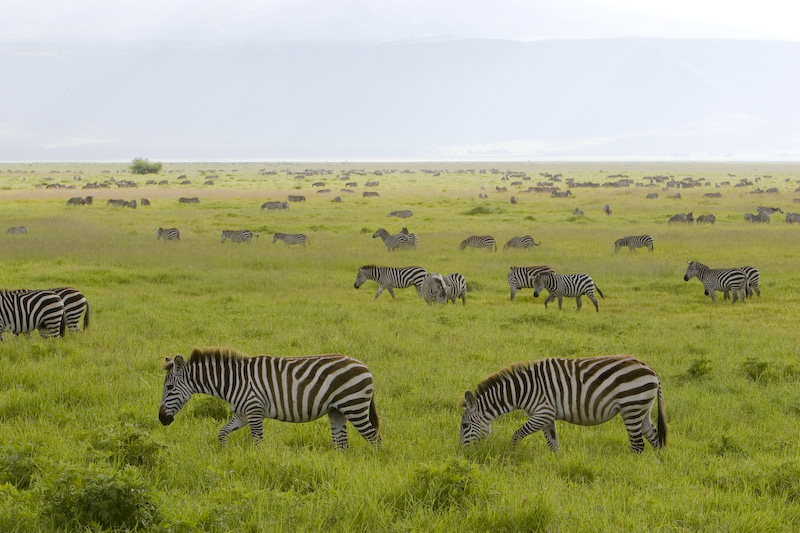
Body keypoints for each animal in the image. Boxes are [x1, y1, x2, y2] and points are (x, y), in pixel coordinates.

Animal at [159, 344, 382, 448]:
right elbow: (222, 433)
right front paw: (224, 453)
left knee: (375, 439)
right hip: (337, 411)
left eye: (169, 388)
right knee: (342, 444)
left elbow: (258, 443)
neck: (233, 381)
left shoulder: (255, 411)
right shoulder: (243, 414)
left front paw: (261, 465)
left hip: (354, 407)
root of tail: (365, 366)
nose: (162, 419)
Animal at [460, 354, 664, 454]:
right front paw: (557, 462)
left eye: (465, 426)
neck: (523, 390)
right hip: (641, 409)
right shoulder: (547, 416)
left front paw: (513, 454)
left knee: (638, 446)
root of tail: (651, 369)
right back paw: (656, 467)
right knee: (655, 439)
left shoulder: (542, 413)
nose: (462, 452)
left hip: (631, 407)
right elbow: (553, 443)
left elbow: (517, 435)